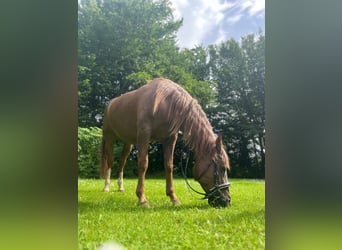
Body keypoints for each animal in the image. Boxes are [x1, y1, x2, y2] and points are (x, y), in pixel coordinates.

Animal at [100, 77, 231, 207]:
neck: (165, 102)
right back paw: (106, 187)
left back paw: (120, 187)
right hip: (110, 138)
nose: (227, 200)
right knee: (110, 161)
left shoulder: (170, 139)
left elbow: (169, 166)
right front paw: (142, 199)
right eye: (223, 168)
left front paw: (173, 197)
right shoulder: (144, 135)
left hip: (128, 143)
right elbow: (143, 164)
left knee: (122, 162)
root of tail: (110, 105)